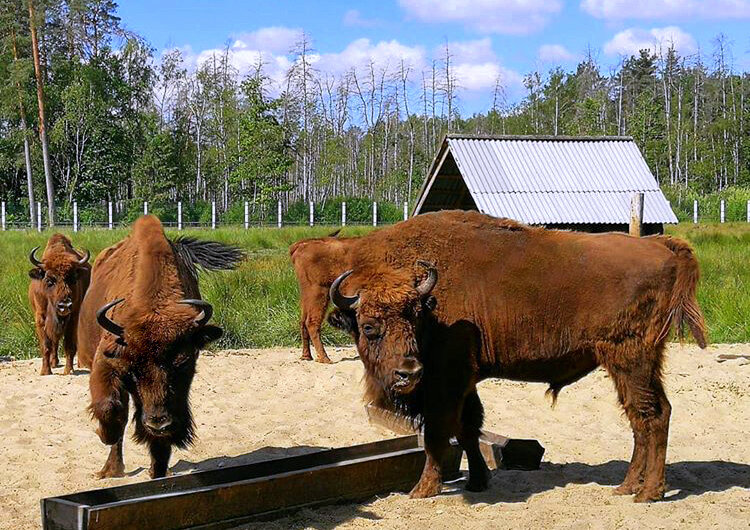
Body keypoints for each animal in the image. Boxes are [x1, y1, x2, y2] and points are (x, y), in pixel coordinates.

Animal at [27, 233, 91, 374]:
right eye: (49, 280)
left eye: (73, 279)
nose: (65, 306)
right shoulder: (40, 318)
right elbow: (46, 345)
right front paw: (45, 371)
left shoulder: (73, 317)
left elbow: (69, 344)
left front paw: (69, 370)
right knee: (54, 342)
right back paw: (54, 362)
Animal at [79, 216, 245, 478]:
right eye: (133, 369)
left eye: (184, 362)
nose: (159, 423)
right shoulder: (106, 360)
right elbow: (110, 407)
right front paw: (105, 436)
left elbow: (160, 446)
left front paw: (157, 470)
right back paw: (112, 469)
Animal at [328, 208, 704, 502]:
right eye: (368, 327)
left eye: (415, 318)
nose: (408, 372)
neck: (432, 302)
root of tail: (660, 246)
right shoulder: (466, 381)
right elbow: (469, 427)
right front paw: (478, 482)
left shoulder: (445, 381)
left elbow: (438, 431)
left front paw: (422, 489)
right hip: (638, 363)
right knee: (646, 415)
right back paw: (627, 487)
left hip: (630, 359)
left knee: (650, 415)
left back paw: (648, 492)